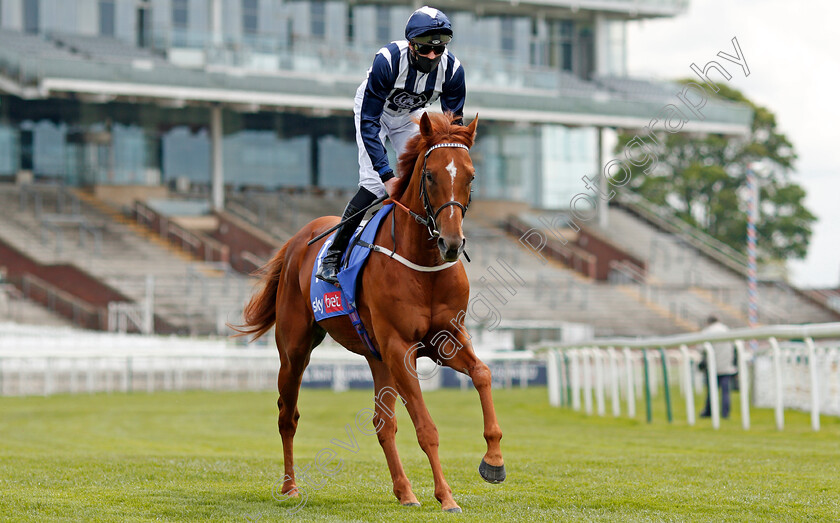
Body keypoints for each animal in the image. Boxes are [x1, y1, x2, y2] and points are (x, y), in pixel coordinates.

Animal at [233, 113, 502, 512]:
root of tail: (299, 238)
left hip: (377, 358)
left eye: (470, 176)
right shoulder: (400, 346)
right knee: (287, 415)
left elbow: (483, 373)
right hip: (295, 348)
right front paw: (447, 496)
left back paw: (404, 491)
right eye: (429, 175)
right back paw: (290, 486)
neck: (424, 265)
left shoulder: (444, 340)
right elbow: (426, 427)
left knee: (381, 423)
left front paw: (494, 461)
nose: (451, 243)